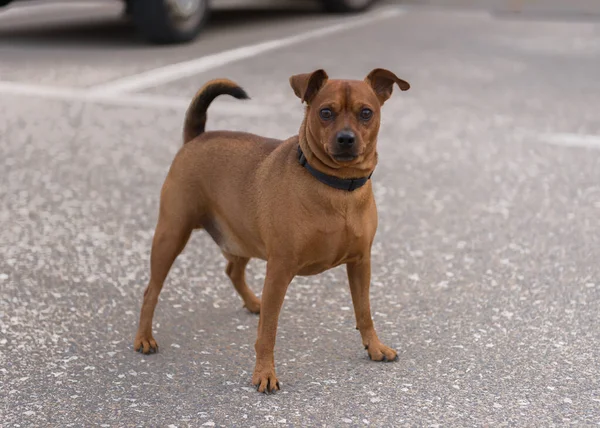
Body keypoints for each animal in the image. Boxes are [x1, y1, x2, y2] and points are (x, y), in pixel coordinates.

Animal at [134, 68, 410, 392]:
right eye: (325, 112)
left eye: (366, 113)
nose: (346, 139)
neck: (337, 190)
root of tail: (197, 137)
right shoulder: (279, 270)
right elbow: (268, 330)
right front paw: (264, 373)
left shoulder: (360, 263)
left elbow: (364, 311)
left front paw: (374, 347)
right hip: (171, 235)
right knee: (151, 290)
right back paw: (144, 337)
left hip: (240, 236)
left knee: (232, 270)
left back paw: (254, 302)